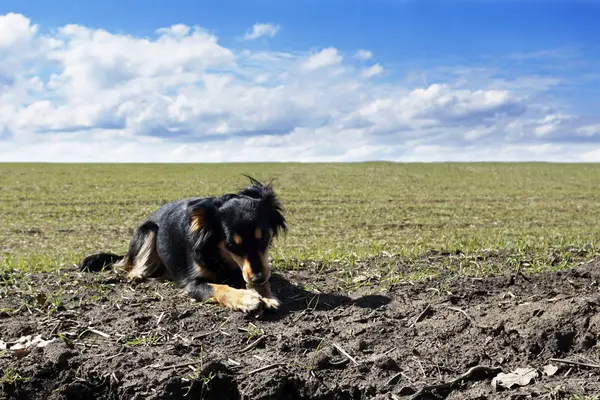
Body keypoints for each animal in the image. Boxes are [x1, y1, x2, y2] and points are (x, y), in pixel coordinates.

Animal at [79, 177, 286, 314]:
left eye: (264, 237)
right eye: (231, 245)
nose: (258, 278)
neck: (219, 253)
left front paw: (265, 294)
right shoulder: (193, 283)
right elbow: (219, 287)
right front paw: (246, 297)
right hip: (149, 230)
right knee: (125, 264)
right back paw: (137, 273)